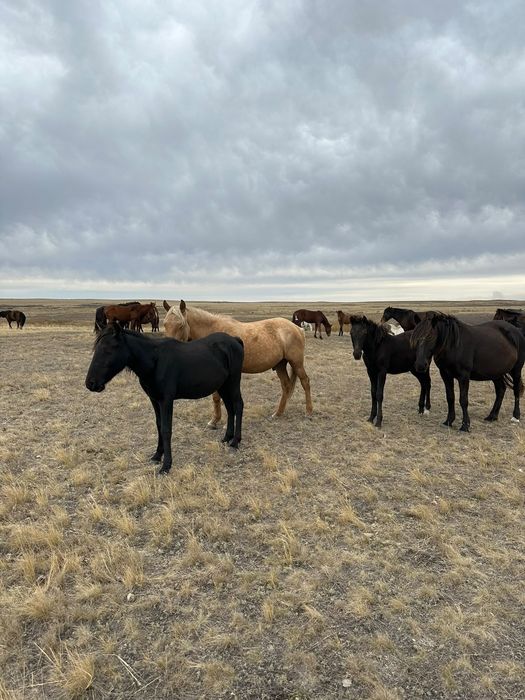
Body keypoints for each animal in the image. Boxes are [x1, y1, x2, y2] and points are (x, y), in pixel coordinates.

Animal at [85, 323, 244, 474]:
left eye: (108, 350)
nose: (90, 383)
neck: (155, 361)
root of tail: (235, 340)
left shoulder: (166, 401)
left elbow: (166, 429)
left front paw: (166, 465)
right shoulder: (154, 399)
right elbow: (159, 426)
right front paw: (157, 456)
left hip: (233, 382)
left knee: (238, 405)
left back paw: (235, 442)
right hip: (223, 385)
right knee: (230, 408)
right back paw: (227, 438)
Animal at [163, 300, 313, 426]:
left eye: (181, 325)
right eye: (165, 324)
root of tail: (297, 328)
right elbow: (216, 398)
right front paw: (214, 421)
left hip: (296, 363)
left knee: (305, 382)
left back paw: (309, 412)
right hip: (280, 364)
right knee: (286, 385)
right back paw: (278, 413)